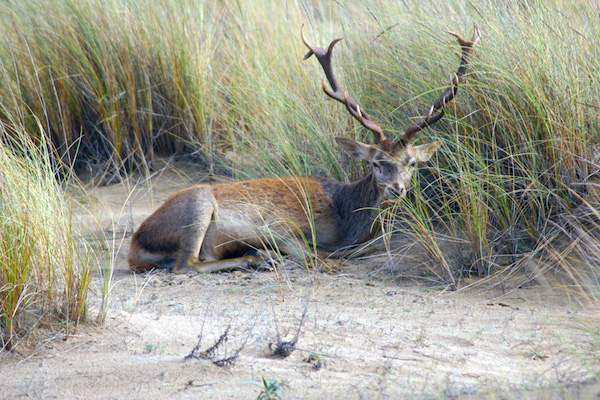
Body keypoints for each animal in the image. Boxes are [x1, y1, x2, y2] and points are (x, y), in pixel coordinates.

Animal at [129, 26, 480, 274]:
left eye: (411, 162)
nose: (398, 190)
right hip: (197, 205)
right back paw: (258, 259)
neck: (346, 219)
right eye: (376, 163)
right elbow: (316, 257)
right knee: (185, 264)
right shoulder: (280, 226)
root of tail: (135, 247)